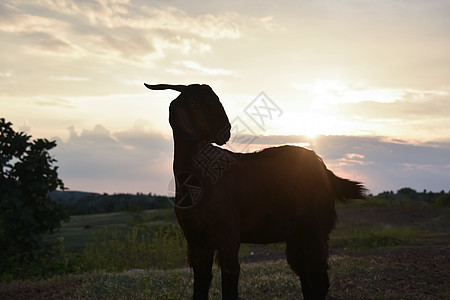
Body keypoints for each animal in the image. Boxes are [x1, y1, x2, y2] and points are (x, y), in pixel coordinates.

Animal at [144, 83, 366, 300]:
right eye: (193, 103)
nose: (224, 131)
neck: (198, 179)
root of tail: (323, 168)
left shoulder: (228, 234)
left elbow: (230, 284)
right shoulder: (196, 240)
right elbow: (201, 286)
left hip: (315, 228)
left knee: (319, 279)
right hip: (297, 235)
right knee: (309, 278)